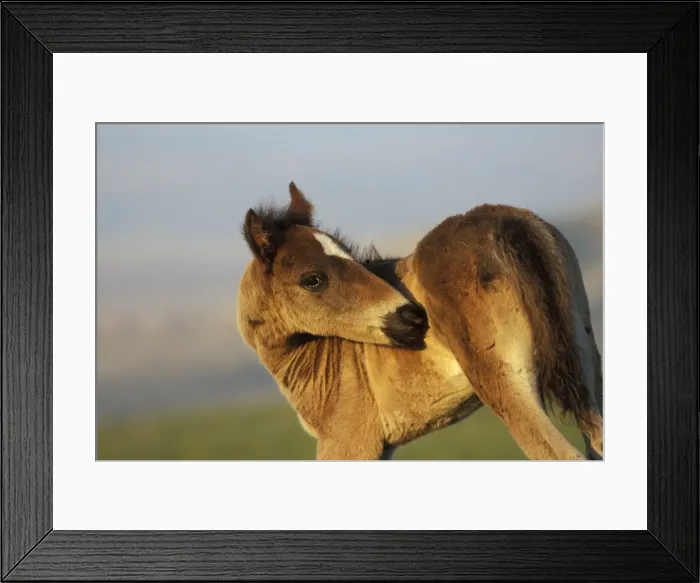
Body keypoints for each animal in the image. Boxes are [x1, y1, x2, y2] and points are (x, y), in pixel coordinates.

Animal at [236, 182, 603, 461]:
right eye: (312, 279)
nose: (411, 316)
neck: (323, 357)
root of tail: (508, 222)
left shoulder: (349, 441)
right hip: (586, 364)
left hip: (507, 383)